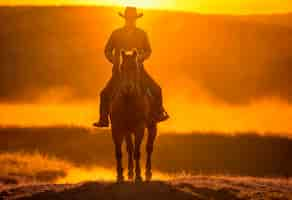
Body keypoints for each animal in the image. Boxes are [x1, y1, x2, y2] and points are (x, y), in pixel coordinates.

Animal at [109, 50, 157, 183]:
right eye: (122, 67)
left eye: (135, 67)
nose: (128, 87)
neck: (128, 101)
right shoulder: (117, 128)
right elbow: (119, 152)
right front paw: (120, 176)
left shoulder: (139, 128)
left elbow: (137, 152)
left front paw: (139, 176)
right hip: (127, 131)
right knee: (129, 148)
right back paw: (129, 173)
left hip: (152, 127)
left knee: (149, 148)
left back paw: (148, 173)